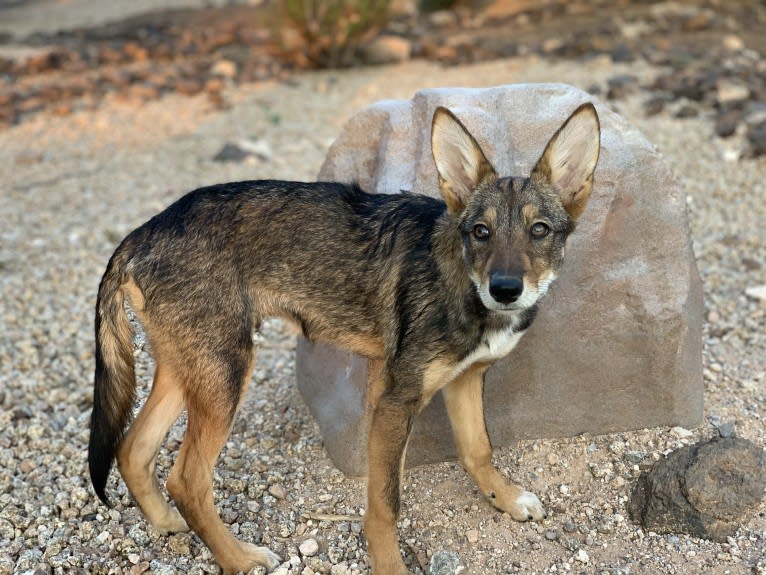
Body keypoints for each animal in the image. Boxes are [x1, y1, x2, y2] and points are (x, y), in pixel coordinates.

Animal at [90, 103, 604, 575]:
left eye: (540, 230)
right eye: (481, 231)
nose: (505, 289)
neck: (458, 280)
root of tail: (142, 232)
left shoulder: (464, 380)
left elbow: (478, 449)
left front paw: (507, 498)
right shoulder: (395, 400)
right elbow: (385, 506)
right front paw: (391, 567)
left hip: (191, 370)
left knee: (132, 449)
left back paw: (167, 524)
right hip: (225, 375)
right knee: (187, 479)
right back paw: (240, 558)